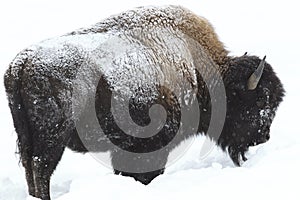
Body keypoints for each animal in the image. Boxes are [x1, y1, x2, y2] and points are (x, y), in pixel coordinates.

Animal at [4, 5, 284, 199]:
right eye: (261, 100)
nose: (264, 137)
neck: (198, 69)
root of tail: (22, 63)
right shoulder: (151, 147)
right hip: (51, 140)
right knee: (41, 168)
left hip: (27, 138)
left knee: (30, 168)